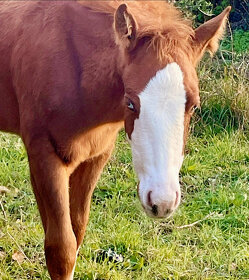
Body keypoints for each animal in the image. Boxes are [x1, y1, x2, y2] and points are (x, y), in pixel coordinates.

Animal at [0, 1, 231, 278]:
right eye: (130, 102)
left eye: (194, 105)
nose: (162, 202)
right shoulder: (44, 156)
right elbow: (61, 249)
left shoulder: (96, 155)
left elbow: (77, 232)